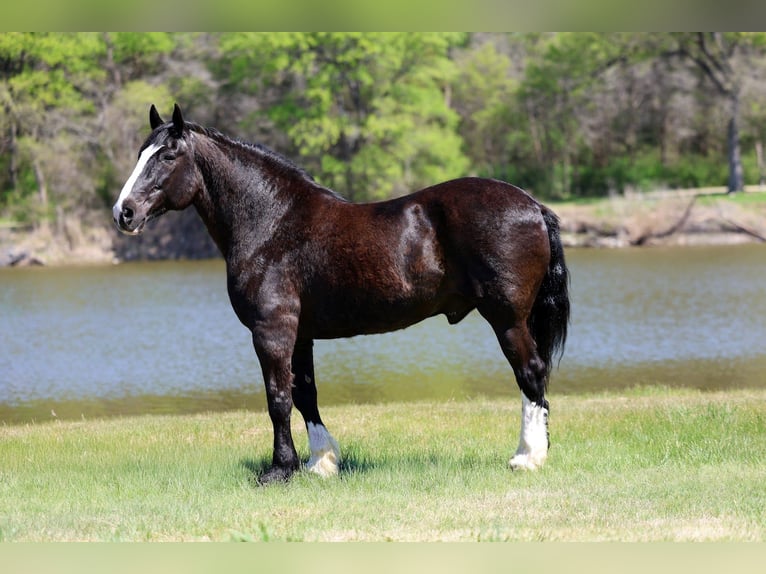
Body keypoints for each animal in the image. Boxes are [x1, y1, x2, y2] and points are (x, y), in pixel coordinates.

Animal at [113, 104, 570, 484]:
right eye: (140, 153)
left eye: (167, 156)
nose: (124, 212)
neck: (272, 223)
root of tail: (532, 205)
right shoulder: (300, 334)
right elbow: (305, 395)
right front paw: (321, 463)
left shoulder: (272, 330)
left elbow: (278, 398)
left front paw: (279, 470)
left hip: (507, 318)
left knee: (530, 373)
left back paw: (527, 457)